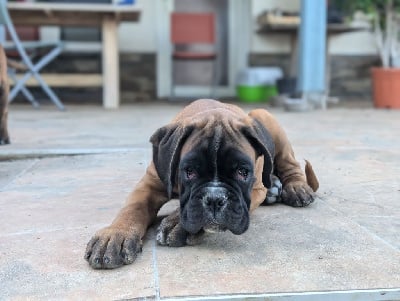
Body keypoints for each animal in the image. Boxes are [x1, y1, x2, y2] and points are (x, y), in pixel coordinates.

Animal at [84, 99, 318, 270]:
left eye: (243, 172)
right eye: (189, 171)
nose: (215, 199)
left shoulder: (255, 190)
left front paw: (177, 224)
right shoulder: (149, 184)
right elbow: (132, 208)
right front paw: (115, 235)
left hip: (265, 116)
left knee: (290, 164)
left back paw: (295, 188)